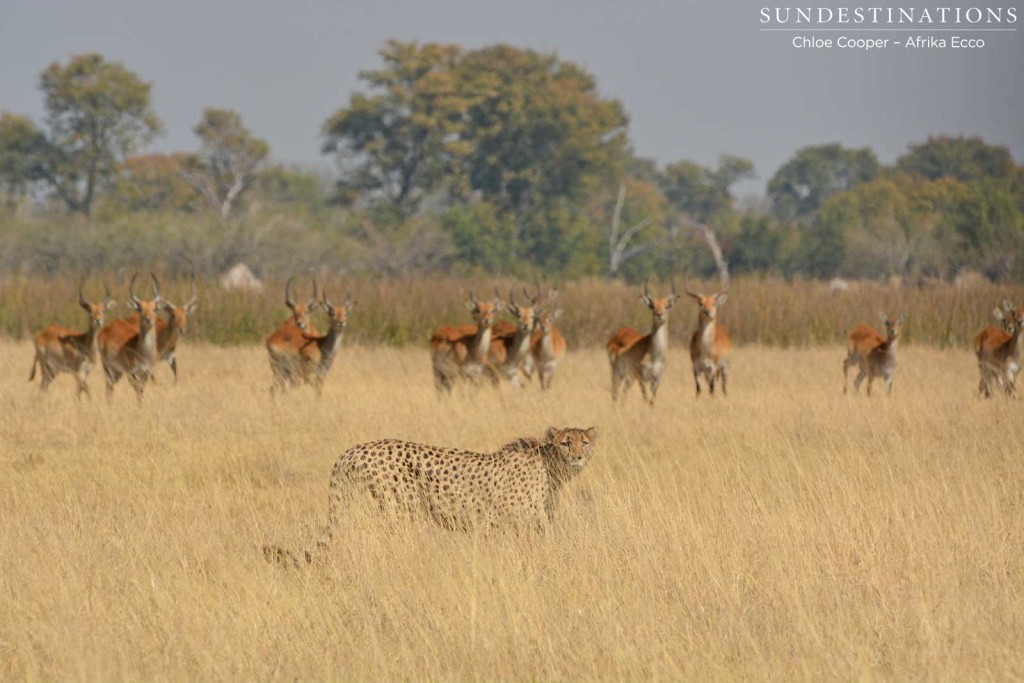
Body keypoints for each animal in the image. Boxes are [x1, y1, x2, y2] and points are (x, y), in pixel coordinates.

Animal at [99, 272, 165, 401]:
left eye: (154, 309)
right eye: (140, 308)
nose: (148, 319)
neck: (142, 352)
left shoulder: (146, 372)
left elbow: (141, 390)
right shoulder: (131, 372)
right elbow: (138, 389)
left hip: (117, 371)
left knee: (111, 386)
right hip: (107, 366)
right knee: (108, 386)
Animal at [264, 428, 598, 565]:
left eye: (584, 442)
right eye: (566, 443)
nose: (578, 457)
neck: (551, 465)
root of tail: (356, 448)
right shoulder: (513, 525)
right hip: (400, 509)